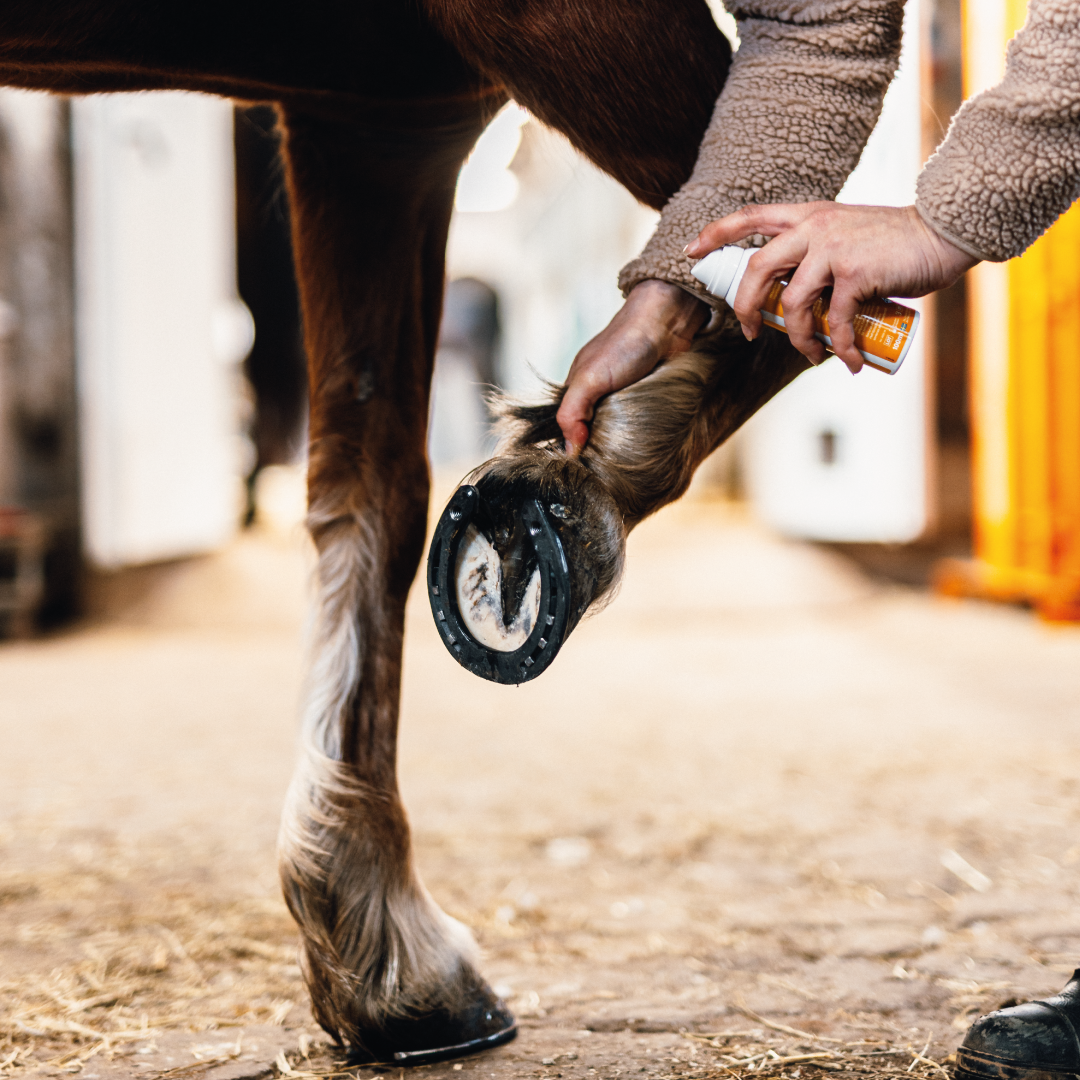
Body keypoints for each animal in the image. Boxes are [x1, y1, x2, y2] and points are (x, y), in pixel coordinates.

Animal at [0, 0, 811, 1063]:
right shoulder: (547, 36)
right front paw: (565, 494)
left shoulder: (375, 122)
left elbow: (371, 491)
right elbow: (776, 291)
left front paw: (371, 939)